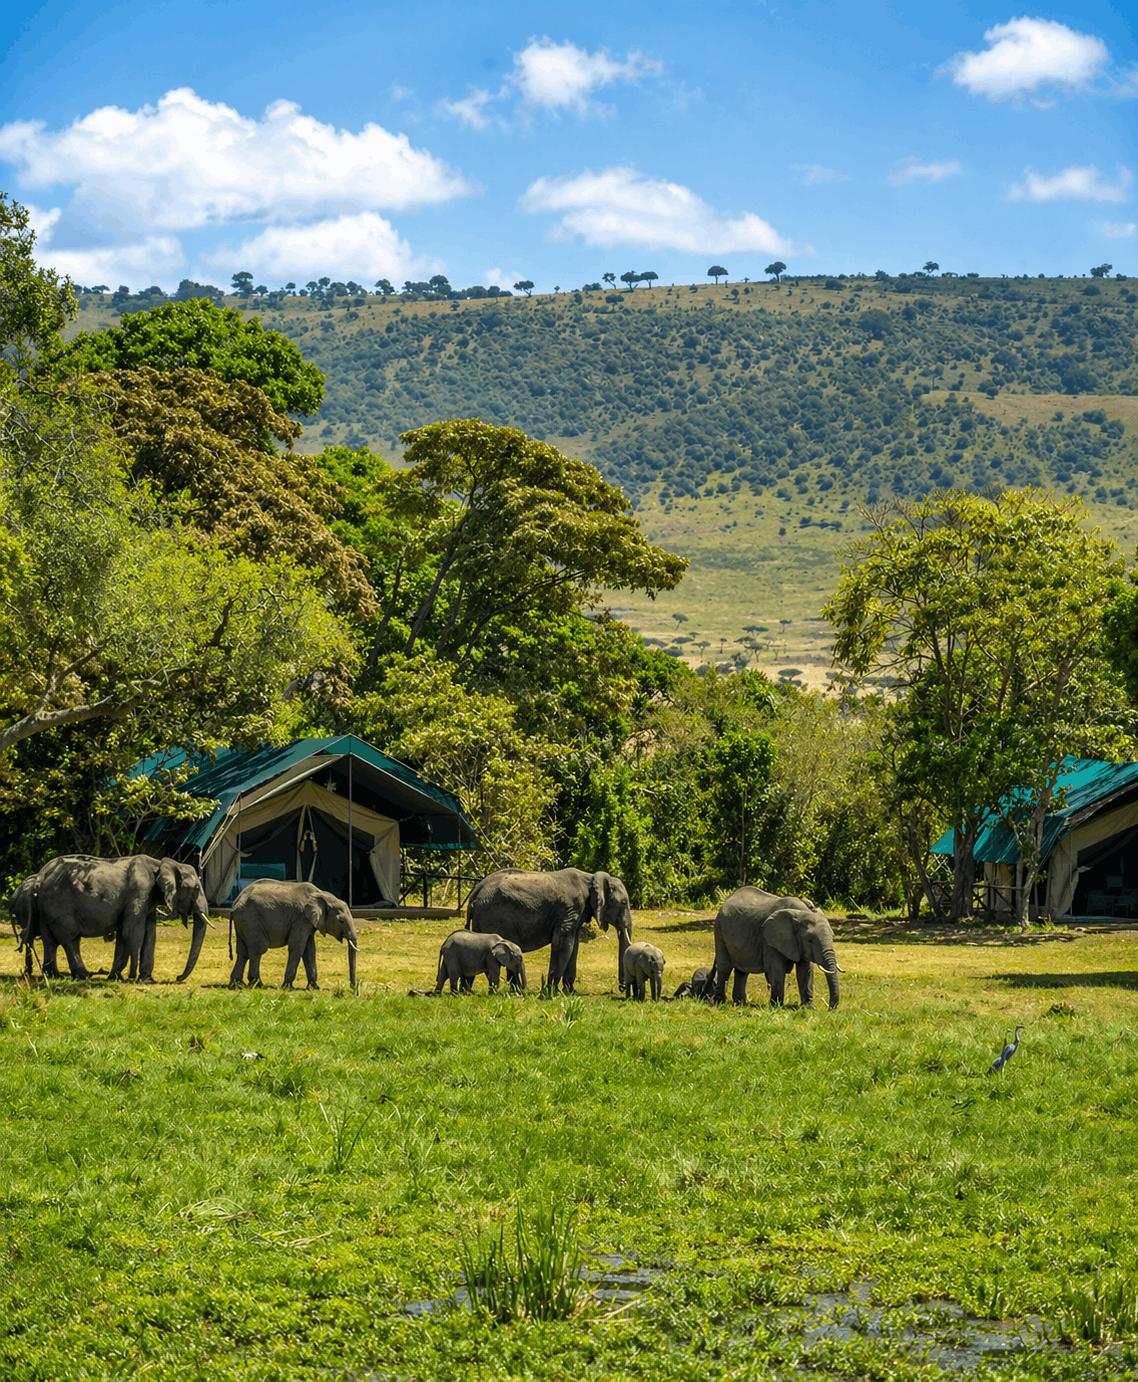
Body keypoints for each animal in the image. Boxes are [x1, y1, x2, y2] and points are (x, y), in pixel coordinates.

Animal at [29, 854, 210, 983]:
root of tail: (39, 877)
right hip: (59, 903)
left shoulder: (149, 899)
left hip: (45, 908)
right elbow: (133, 932)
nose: (178, 978)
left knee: (49, 941)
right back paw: (83, 976)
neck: (160, 864)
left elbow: (147, 935)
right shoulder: (140, 892)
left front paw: (137, 980)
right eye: (196, 888)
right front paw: (132, 977)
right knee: (70, 939)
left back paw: (53, 976)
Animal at [229, 879, 358, 989]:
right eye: (341, 920)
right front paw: (287, 986)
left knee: (242, 952)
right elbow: (297, 948)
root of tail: (235, 902)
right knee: (258, 949)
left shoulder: (308, 923)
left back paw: (237, 984)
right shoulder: (301, 919)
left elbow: (310, 950)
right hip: (251, 919)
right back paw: (257, 984)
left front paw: (315, 987)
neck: (321, 894)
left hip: (242, 922)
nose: (352, 987)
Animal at [466, 868, 632, 993]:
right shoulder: (569, 909)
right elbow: (563, 944)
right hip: (495, 917)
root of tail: (475, 892)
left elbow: (574, 946)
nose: (621, 988)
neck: (590, 878)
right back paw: (517, 991)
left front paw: (570, 992)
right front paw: (552, 990)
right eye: (624, 903)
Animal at [710, 886, 842, 1009]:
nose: (830, 1008)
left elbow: (806, 970)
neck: (799, 912)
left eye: (833, 937)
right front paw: (777, 1006)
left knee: (742, 972)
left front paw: (809, 1008)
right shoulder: (769, 940)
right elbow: (777, 968)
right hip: (719, 930)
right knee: (724, 968)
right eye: (810, 940)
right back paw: (720, 1002)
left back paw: (740, 1003)